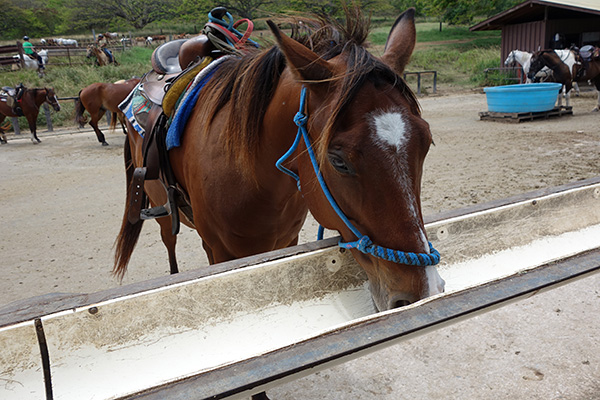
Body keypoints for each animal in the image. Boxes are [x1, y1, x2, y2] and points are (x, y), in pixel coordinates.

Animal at [113, 7, 446, 312]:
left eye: (426, 144)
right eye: (338, 161)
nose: (422, 291)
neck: (256, 184)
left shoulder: (288, 240)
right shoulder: (220, 253)